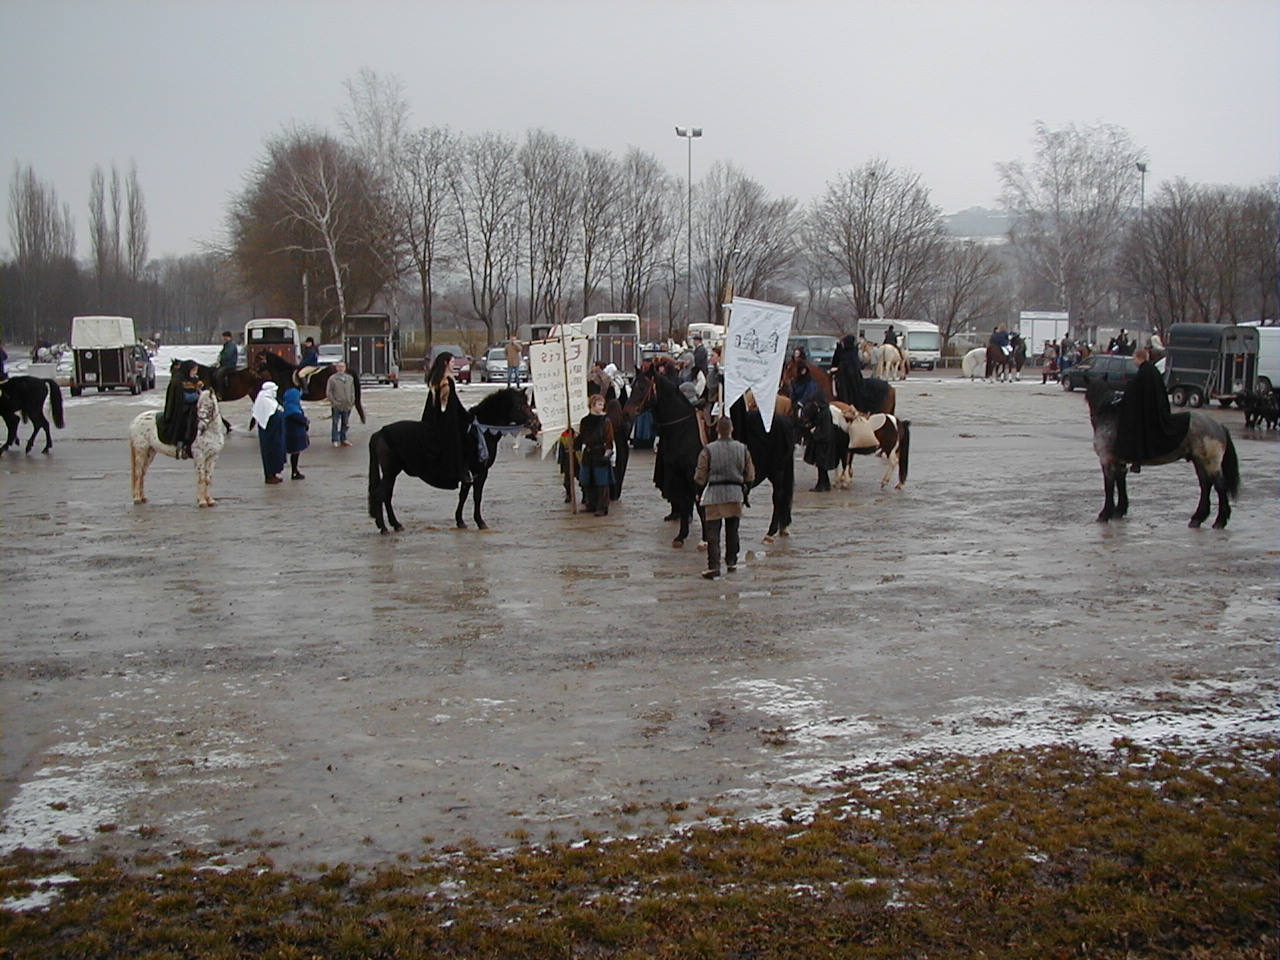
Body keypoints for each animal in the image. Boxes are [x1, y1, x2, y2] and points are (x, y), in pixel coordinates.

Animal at [368, 387, 538, 533]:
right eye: (520, 406)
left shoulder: (470, 473)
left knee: (386, 496)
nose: (536, 424)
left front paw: (460, 521)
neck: (481, 432)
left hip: (392, 473)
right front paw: (480, 522)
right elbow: (477, 496)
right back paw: (384, 527)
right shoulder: (480, 471)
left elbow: (464, 494)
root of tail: (380, 432)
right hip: (391, 472)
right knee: (381, 495)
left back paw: (395, 525)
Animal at [623, 369, 704, 547]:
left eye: (642, 387)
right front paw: (681, 536)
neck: (684, 429)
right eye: (632, 385)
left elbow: (700, 505)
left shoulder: (694, 475)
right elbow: (683, 502)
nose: (626, 413)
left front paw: (705, 540)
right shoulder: (679, 473)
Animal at [1085, 379, 1239, 528]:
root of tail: (1219, 425)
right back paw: (1198, 518)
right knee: (1206, 485)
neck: (1110, 418)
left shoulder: (1107, 461)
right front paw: (1119, 511)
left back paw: (1220, 521)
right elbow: (1120, 483)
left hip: (1210, 463)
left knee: (1219, 486)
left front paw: (1105, 514)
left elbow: (1109, 487)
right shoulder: (1119, 463)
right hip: (1199, 461)